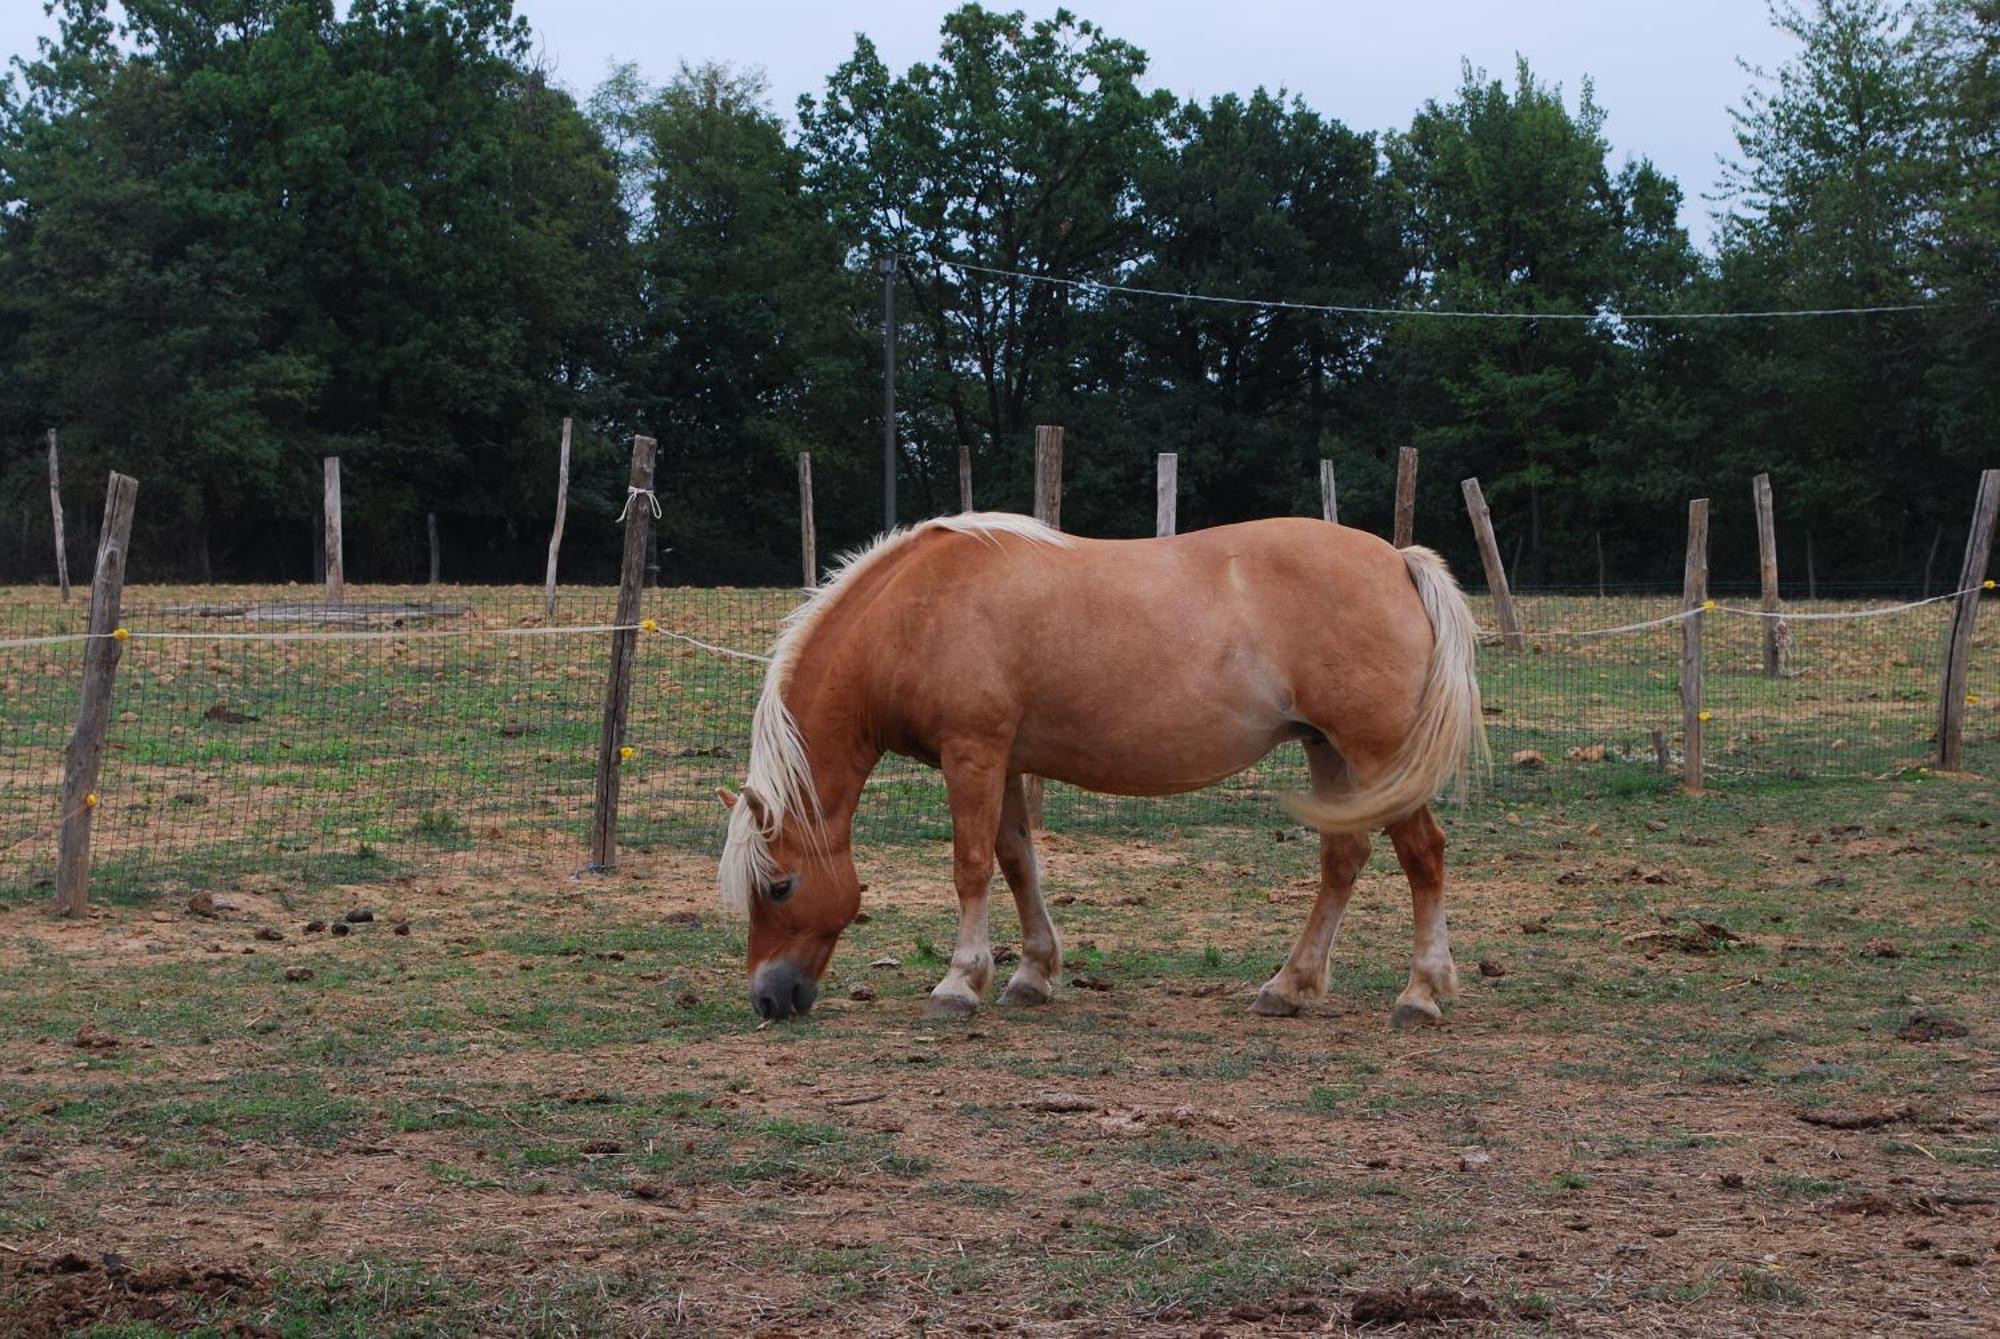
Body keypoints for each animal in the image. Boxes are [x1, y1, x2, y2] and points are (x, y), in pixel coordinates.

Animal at [720, 515, 1488, 1031]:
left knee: (1423, 856)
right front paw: (1032, 974)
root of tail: (1397, 560)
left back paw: (1420, 993)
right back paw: (1290, 985)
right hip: (1327, 748)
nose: (769, 997)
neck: (916, 612)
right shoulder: (1004, 761)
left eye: (780, 885)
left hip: (1378, 752)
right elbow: (1017, 861)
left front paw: (959, 983)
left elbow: (971, 866)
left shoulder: (973, 751)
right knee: (1344, 859)